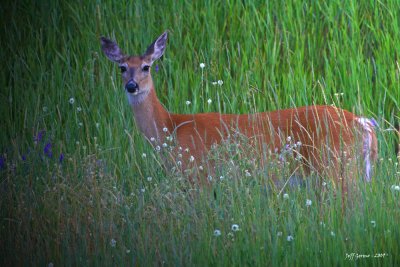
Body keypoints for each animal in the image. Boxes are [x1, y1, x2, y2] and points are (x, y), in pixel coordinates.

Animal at [101, 30, 378, 192]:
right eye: (122, 67)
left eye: (146, 67)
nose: (132, 85)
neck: (171, 127)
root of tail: (362, 123)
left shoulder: (200, 177)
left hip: (338, 168)